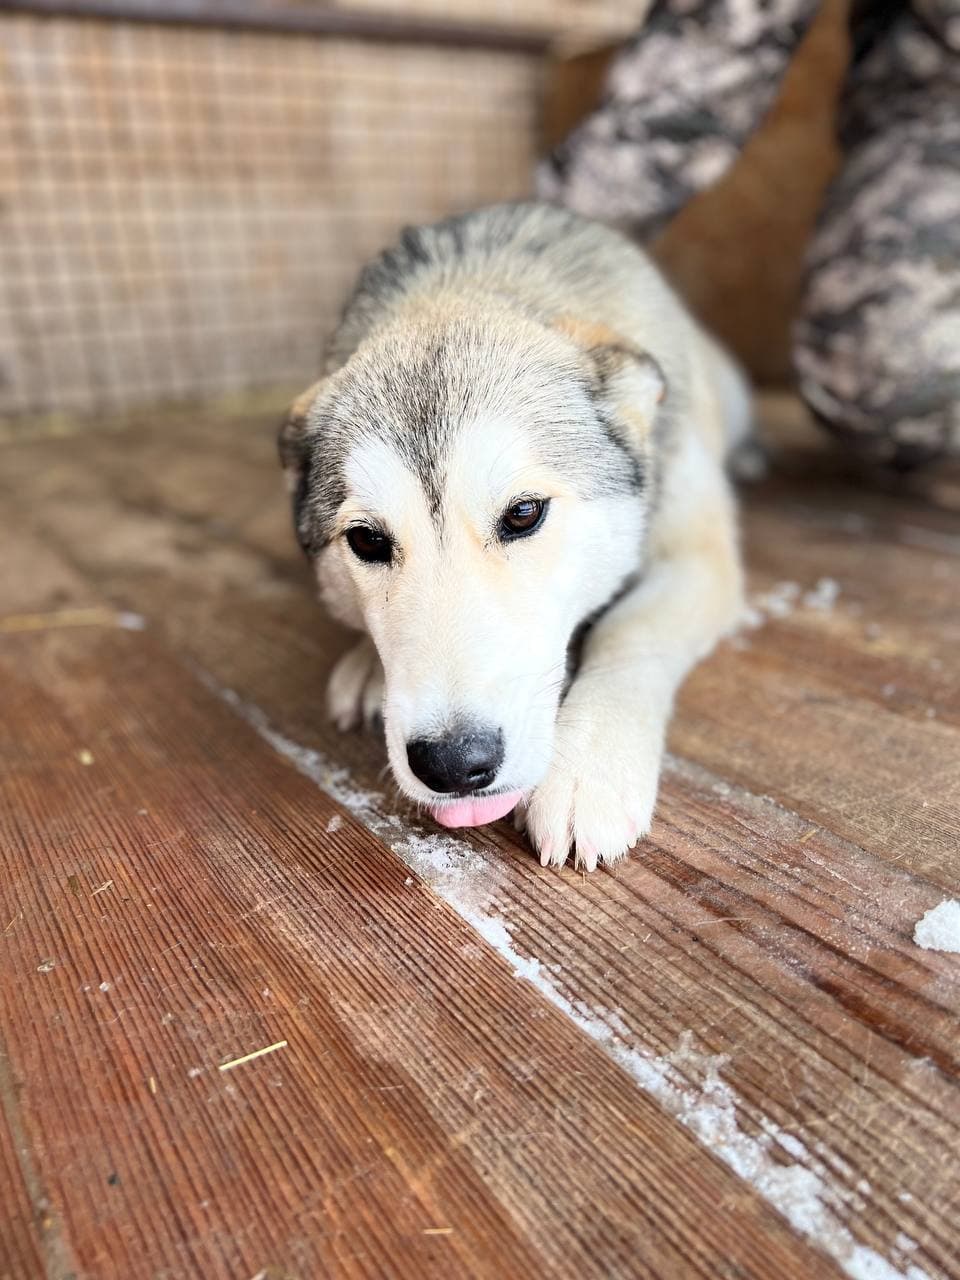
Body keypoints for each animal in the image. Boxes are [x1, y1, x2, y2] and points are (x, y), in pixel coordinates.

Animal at [280, 204, 752, 875]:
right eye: (367, 541)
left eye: (524, 514)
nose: (453, 766)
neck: (467, 281)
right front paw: (369, 664)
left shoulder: (697, 559)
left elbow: (629, 630)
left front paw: (591, 762)